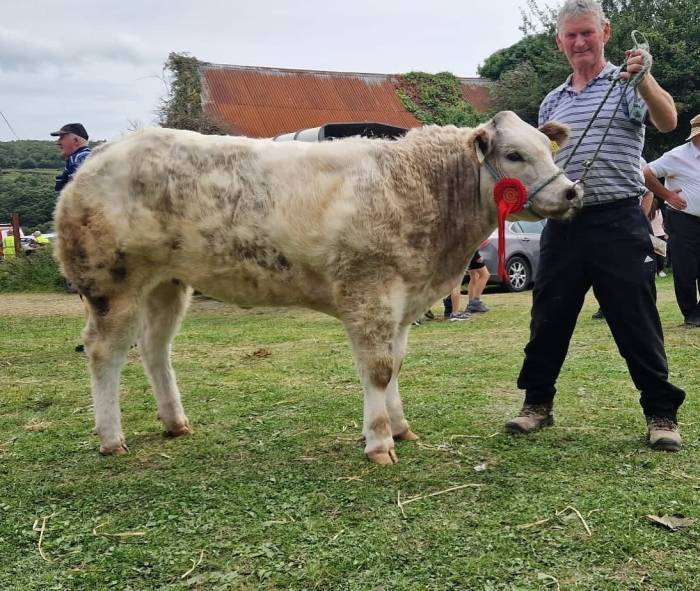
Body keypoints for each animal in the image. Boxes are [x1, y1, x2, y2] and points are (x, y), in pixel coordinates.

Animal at [54, 111, 582, 464]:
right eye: (514, 154)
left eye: (547, 148)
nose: (572, 191)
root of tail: (99, 156)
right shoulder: (369, 292)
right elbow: (379, 369)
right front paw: (379, 441)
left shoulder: (401, 301)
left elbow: (396, 364)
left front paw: (401, 428)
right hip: (113, 285)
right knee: (104, 352)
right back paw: (111, 438)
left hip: (168, 283)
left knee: (155, 349)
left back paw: (175, 423)